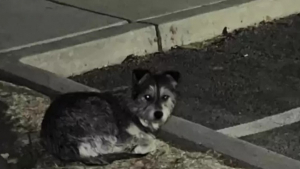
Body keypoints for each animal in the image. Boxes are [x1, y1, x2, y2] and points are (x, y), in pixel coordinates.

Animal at [39, 68, 180, 165]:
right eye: (147, 97)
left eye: (165, 97)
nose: (159, 114)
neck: (135, 108)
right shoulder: (123, 134)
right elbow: (151, 140)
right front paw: (140, 147)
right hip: (101, 113)